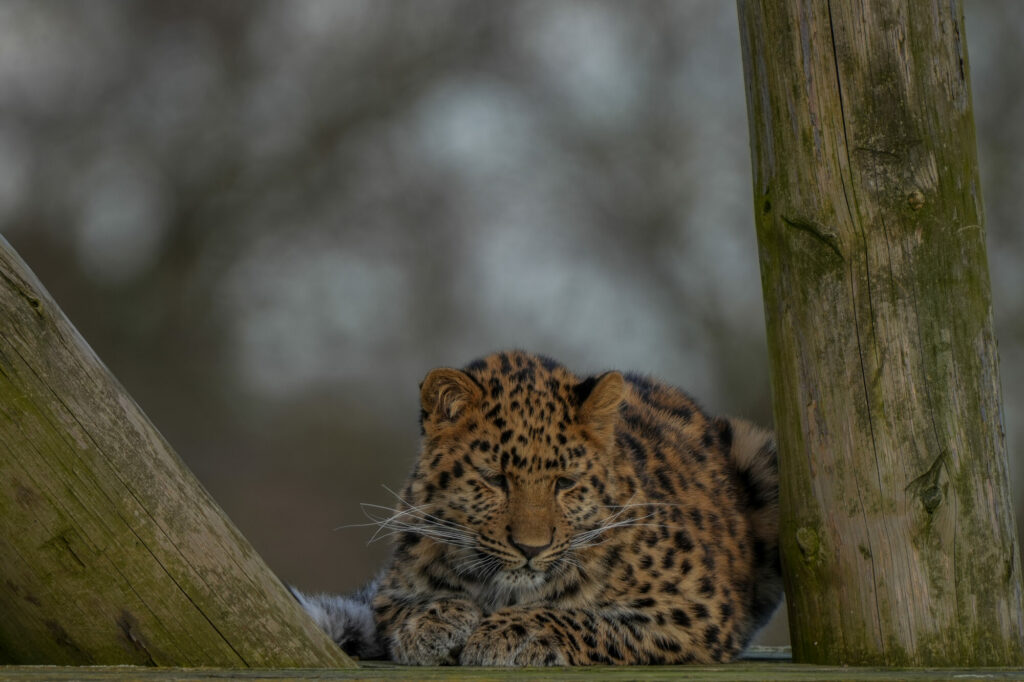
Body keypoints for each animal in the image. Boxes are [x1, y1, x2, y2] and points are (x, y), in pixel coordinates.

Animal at [298, 350, 782, 666]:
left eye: (564, 483)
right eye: (495, 479)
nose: (531, 549)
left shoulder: (695, 608)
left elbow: (581, 616)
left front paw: (511, 632)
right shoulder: (391, 591)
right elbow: (409, 607)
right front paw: (430, 623)